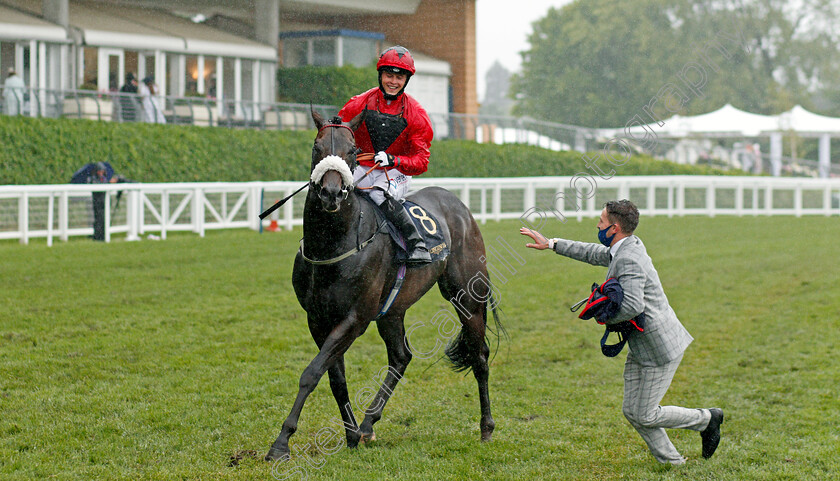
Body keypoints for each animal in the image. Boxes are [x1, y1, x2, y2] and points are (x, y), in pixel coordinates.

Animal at [270, 109, 502, 462]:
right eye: (316, 147)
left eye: (353, 151)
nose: (331, 193)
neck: (332, 246)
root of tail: (456, 203)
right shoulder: (318, 319)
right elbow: (334, 377)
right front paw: (351, 434)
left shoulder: (356, 318)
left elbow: (311, 373)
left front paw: (281, 442)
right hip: (393, 310)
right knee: (401, 356)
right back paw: (368, 424)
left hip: (467, 297)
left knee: (480, 356)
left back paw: (486, 426)